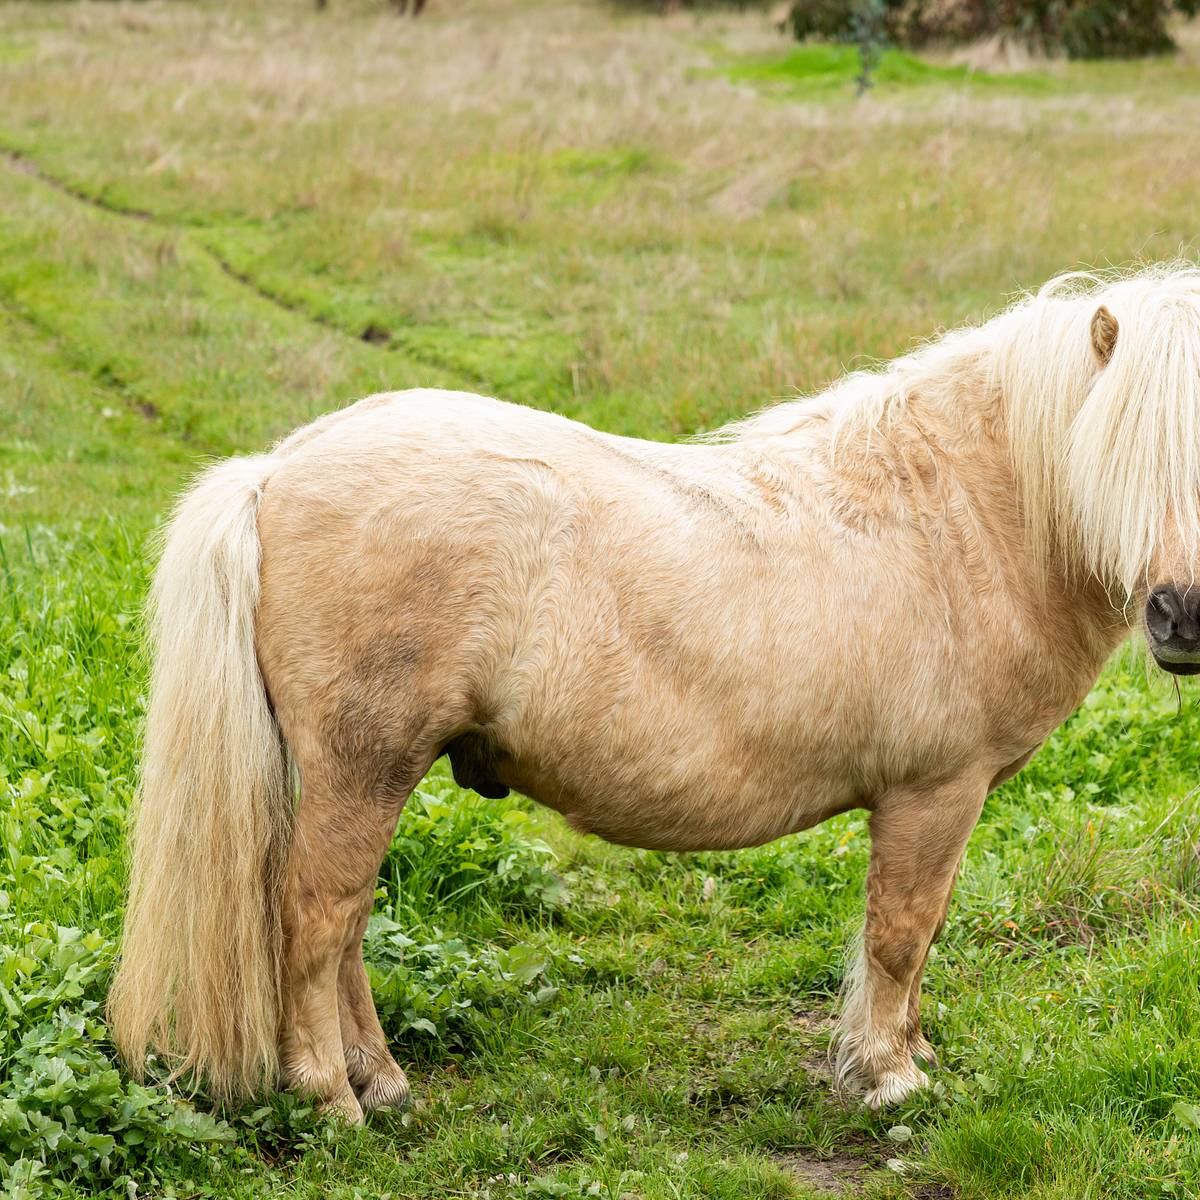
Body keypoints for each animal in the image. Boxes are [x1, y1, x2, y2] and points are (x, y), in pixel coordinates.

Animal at [109, 266, 1200, 1120]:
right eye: (1129, 454)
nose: (1183, 617)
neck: (955, 513)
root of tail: (276, 471)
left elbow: (919, 938)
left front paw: (912, 1052)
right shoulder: (935, 794)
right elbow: (900, 934)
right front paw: (889, 1076)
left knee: (341, 933)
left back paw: (381, 1081)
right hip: (363, 766)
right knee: (317, 920)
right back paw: (334, 1098)